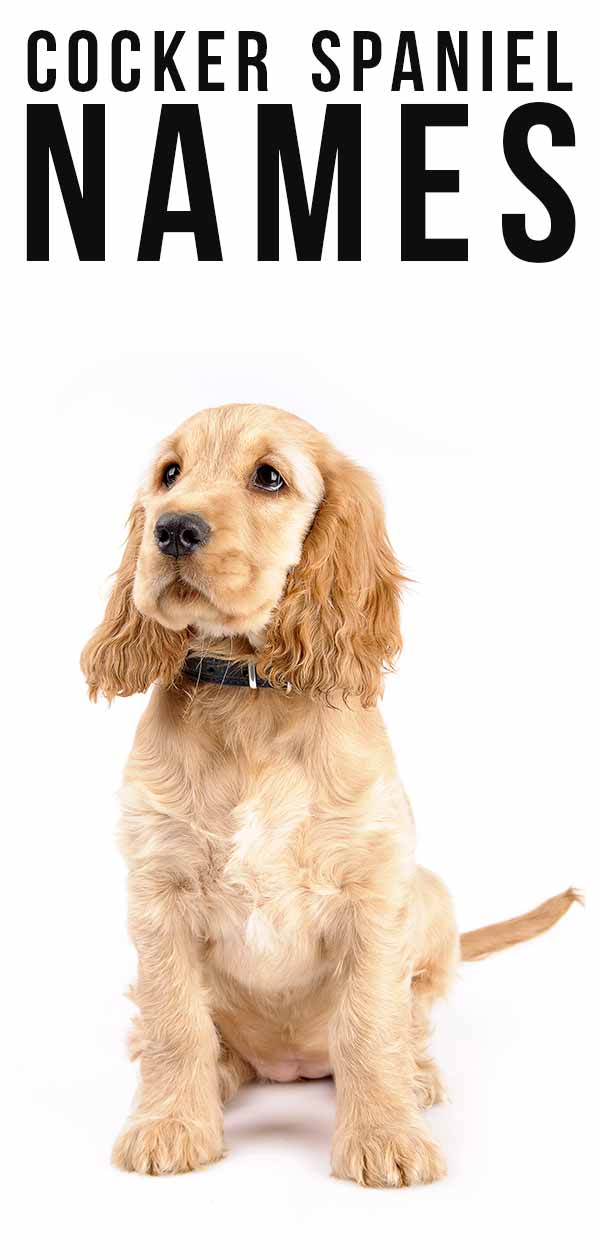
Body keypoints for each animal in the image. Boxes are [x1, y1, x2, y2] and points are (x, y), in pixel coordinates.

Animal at [81, 408, 579, 1184]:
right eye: (169, 474)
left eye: (269, 477)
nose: (172, 529)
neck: (250, 696)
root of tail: (286, 1066)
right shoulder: (157, 888)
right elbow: (175, 1022)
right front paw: (168, 1123)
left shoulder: (373, 889)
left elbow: (371, 1025)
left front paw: (385, 1136)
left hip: (428, 890)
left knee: (409, 1016)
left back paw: (417, 1075)